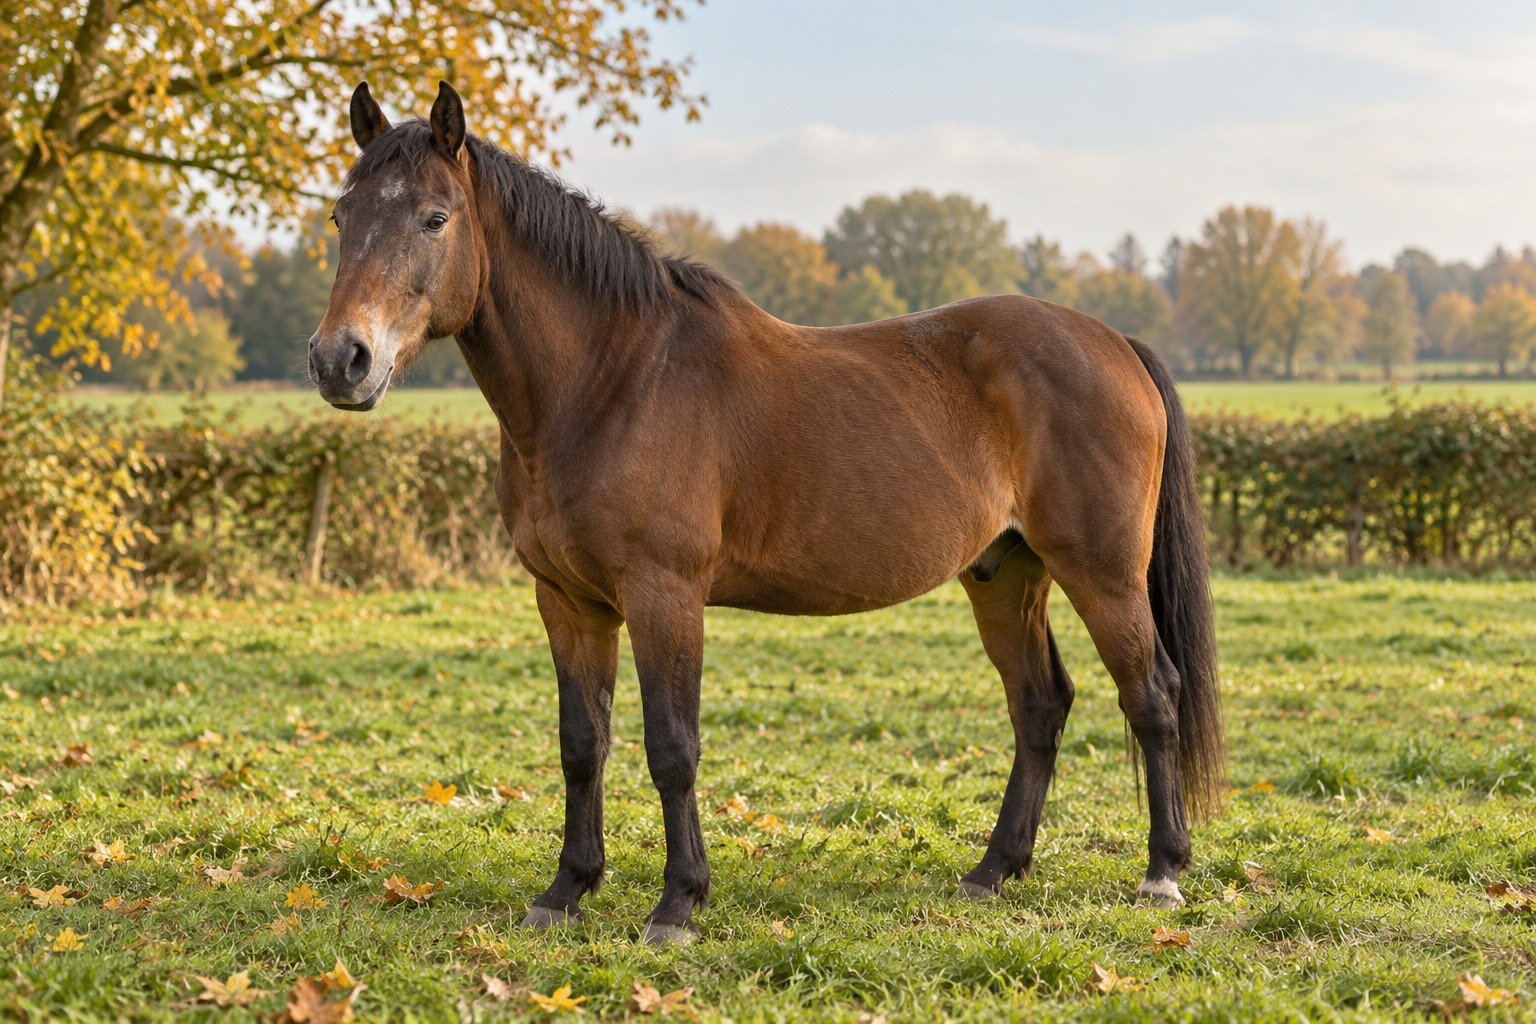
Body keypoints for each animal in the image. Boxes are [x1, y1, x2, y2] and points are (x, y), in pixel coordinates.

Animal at [309, 80, 1225, 944]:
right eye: (341, 216)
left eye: (435, 218)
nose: (339, 359)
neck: (612, 380)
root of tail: (1115, 343)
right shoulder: (568, 602)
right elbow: (582, 744)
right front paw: (566, 891)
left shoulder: (664, 595)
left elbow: (672, 747)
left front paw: (678, 904)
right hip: (1004, 573)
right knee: (1040, 705)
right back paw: (993, 870)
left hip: (1102, 573)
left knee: (1151, 695)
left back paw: (1161, 874)